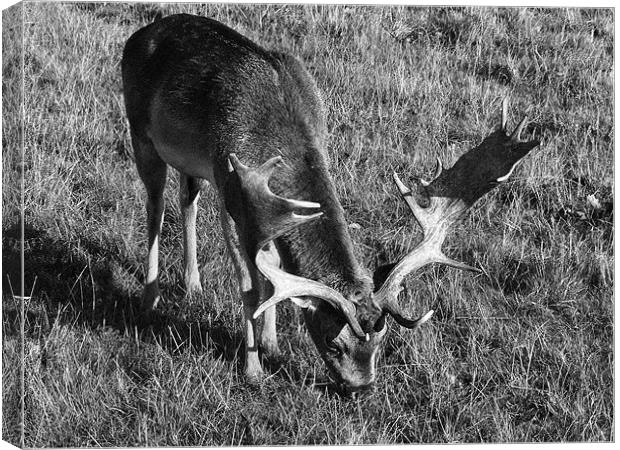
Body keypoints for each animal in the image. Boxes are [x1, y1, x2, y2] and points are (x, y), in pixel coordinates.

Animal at [121, 14, 536, 392]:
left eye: (383, 341)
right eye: (332, 344)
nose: (362, 388)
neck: (281, 135)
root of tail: (141, 34)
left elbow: (274, 268)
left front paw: (272, 344)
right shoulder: (236, 196)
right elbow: (251, 285)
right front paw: (253, 369)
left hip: (190, 162)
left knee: (187, 200)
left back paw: (192, 285)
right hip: (141, 133)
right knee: (155, 207)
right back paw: (149, 298)